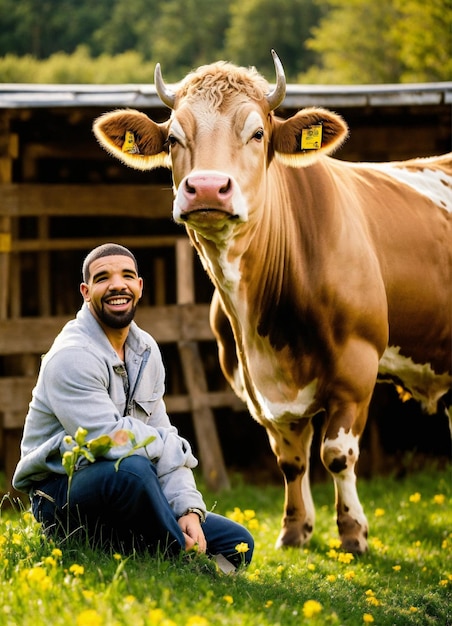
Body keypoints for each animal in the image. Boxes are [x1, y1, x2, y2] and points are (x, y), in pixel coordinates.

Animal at [92, 52, 452, 552]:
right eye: (173, 138)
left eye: (258, 133)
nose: (207, 187)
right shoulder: (252, 384)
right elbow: (290, 459)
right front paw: (295, 531)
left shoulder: (357, 368)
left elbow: (336, 454)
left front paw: (353, 534)